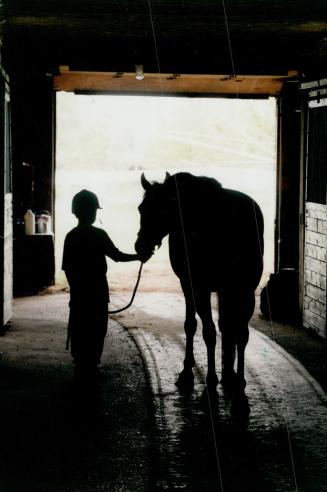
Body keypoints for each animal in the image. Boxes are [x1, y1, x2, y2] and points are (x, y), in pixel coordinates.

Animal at [135, 173, 266, 392]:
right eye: (141, 209)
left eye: (162, 209)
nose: (141, 246)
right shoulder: (202, 286)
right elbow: (198, 326)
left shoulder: (195, 287)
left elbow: (204, 330)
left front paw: (205, 377)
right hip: (237, 289)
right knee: (234, 329)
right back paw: (234, 377)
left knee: (231, 330)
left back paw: (230, 378)